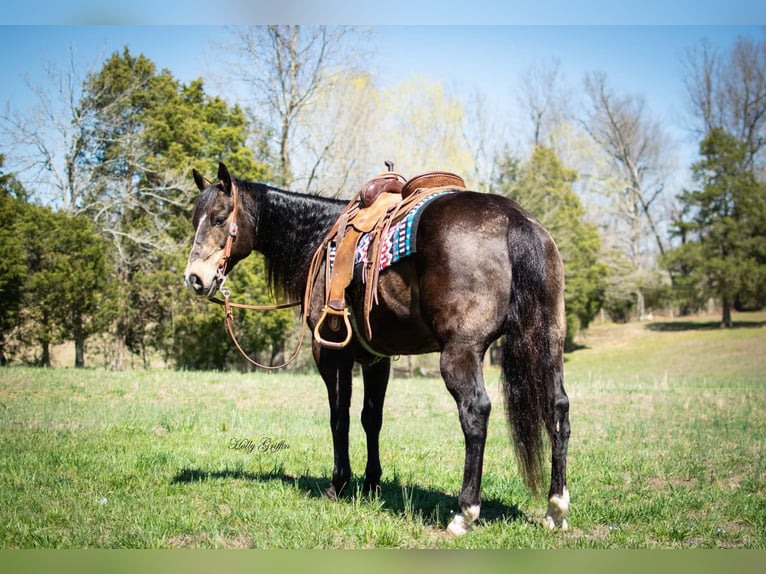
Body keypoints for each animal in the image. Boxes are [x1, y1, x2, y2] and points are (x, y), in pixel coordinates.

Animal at [184, 161, 568, 536]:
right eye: (194, 220)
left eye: (219, 218)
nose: (195, 278)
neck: (318, 239)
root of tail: (513, 219)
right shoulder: (376, 359)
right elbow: (372, 418)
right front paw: (371, 483)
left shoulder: (330, 354)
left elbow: (339, 417)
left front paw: (339, 483)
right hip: (547, 342)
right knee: (558, 408)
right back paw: (556, 508)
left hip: (460, 352)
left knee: (475, 413)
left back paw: (465, 512)